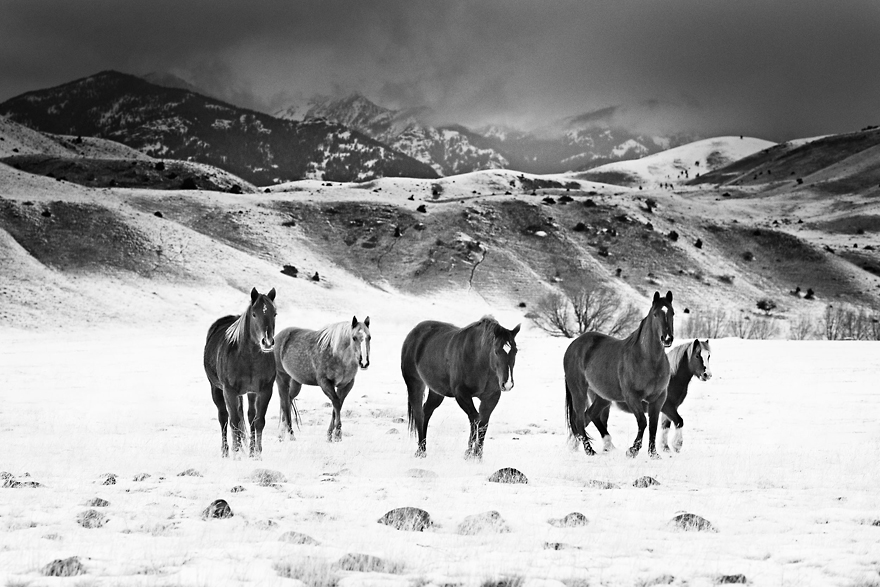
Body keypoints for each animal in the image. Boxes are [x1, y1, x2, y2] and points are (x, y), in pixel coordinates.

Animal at [203, 287, 277, 458]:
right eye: (254, 314)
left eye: (274, 314)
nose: (267, 342)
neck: (249, 358)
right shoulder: (229, 391)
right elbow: (234, 421)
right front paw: (236, 454)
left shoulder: (265, 391)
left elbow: (258, 421)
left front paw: (257, 453)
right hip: (216, 389)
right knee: (224, 418)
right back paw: (226, 451)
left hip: (249, 393)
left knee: (249, 417)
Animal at [402, 316, 520, 459]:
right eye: (496, 351)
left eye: (515, 351)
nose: (507, 384)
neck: (479, 360)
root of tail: (413, 334)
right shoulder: (462, 394)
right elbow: (475, 419)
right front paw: (469, 453)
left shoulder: (491, 397)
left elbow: (483, 424)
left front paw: (477, 455)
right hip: (415, 384)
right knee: (419, 414)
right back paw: (420, 451)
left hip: (436, 392)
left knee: (426, 411)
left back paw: (422, 448)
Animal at [564, 291, 675, 459]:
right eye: (655, 314)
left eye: (672, 313)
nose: (667, 339)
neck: (647, 359)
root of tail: (573, 346)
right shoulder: (632, 397)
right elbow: (643, 422)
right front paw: (633, 450)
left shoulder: (658, 399)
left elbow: (653, 425)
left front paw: (653, 454)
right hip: (579, 392)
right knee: (580, 419)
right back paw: (589, 451)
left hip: (602, 397)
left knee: (590, 416)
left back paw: (588, 446)